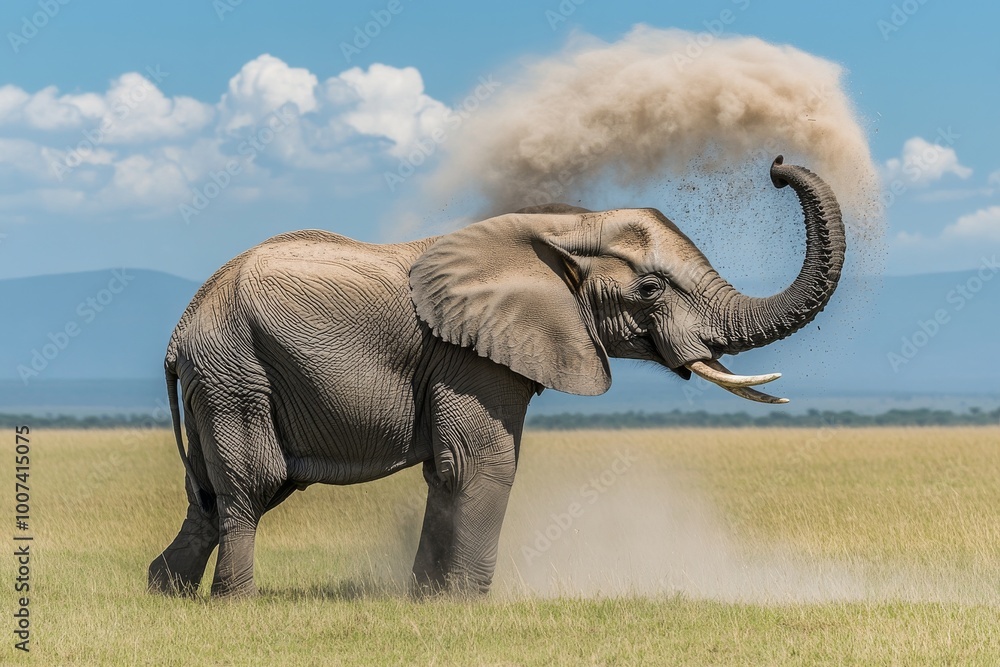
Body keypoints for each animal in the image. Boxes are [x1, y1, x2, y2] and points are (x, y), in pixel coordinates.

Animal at [148, 156, 844, 598]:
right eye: (650, 288)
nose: (776, 165)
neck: (563, 226)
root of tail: (181, 332)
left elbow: (446, 471)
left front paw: (427, 602)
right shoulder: (470, 356)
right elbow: (481, 464)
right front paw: (467, 606)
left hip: (222, 376)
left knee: (211, 493)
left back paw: (167, 593)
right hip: (236, 371)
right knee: (254, 483)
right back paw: (233, 602)